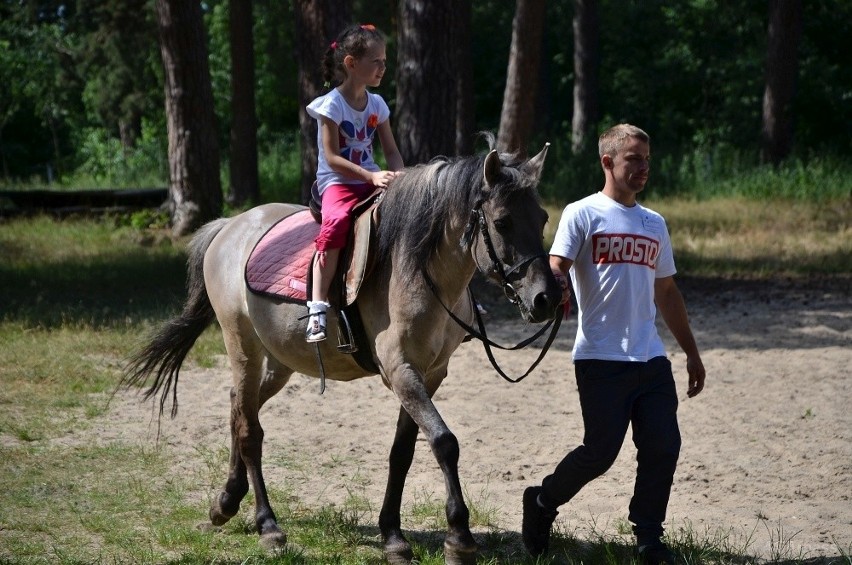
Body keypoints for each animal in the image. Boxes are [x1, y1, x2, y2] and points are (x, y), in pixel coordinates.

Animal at [121, 138, 560, 564]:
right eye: (502, 222)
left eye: (541, 219)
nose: (546, 299)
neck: (415, 268)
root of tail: (229, 227)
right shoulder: (401, 370)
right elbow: (444, 442)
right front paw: (459, 539)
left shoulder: (430, 373)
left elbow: (402, 451)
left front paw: (393, 535)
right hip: (241, 345)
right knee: (249, 430)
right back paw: (268, 526)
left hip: (279, 360)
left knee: (238, 407)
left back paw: (226, 502)